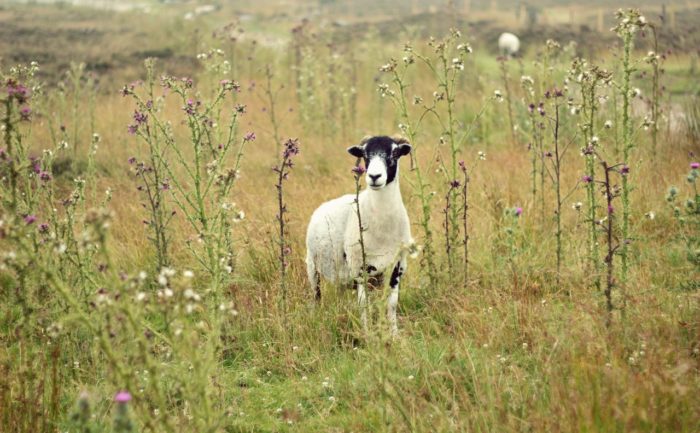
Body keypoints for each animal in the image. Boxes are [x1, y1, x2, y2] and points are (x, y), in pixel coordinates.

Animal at [304, 135, 412, 334]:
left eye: (394, 153)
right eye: (365, 155)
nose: (374, 177)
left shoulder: (396, 267)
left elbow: (392, 304)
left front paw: (394, 334)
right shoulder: (359, 268)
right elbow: (363, 305)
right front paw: (367, 334)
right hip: (312, 267)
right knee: (316, 296)